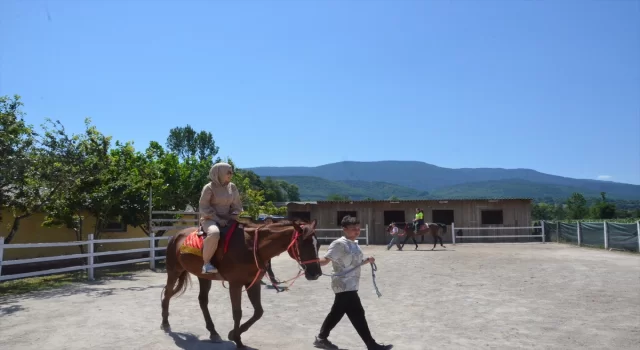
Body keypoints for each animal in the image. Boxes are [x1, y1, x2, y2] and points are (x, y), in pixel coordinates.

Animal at [160, 219, 320, 348]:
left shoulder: (253, 283)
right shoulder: (235, 284)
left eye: (317, 245)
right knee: (167, 294)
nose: (316, 273)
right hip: (173, 271)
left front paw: (233, 334)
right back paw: (165, 323)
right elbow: (237, 312)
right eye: (303, 244)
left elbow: (258, 311)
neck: (251, 247)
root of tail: (176, 236)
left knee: (202, 301)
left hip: (203, 277)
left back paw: (213, 332)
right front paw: (237, 339)